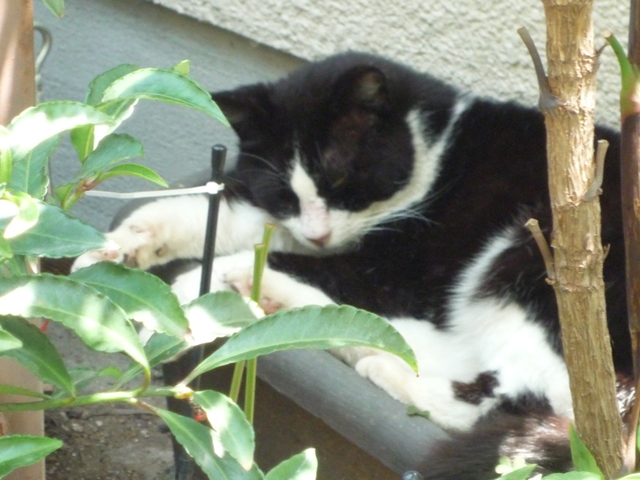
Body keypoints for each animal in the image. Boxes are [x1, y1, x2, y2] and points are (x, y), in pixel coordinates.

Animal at [72, 51, 632, 478]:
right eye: (285, 194)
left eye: (342, 179)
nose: (318, 233)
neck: (434, 152)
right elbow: (220, 215)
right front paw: (113, 250)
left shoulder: (400, 265)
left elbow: (323, 267)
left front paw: (199, 286)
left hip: (541, 257)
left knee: (520, 399)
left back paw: (363, 353)